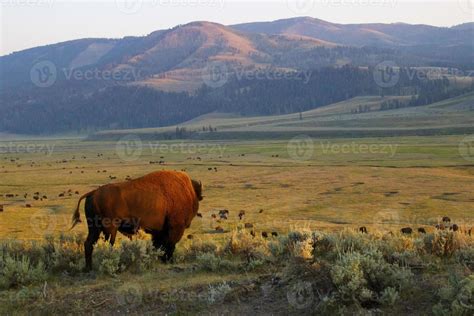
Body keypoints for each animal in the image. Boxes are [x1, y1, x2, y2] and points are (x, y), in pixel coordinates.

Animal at [71, 170, 203, 272]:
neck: (188, 191)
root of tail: (94, 192)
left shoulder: (158, 231)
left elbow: (159, 245)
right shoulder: (175, 228)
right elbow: (169, 244)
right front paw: (168, 260)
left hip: (94, 228)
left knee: (89, 244)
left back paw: (88, 268)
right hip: (110, 228)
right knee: (108, 244)